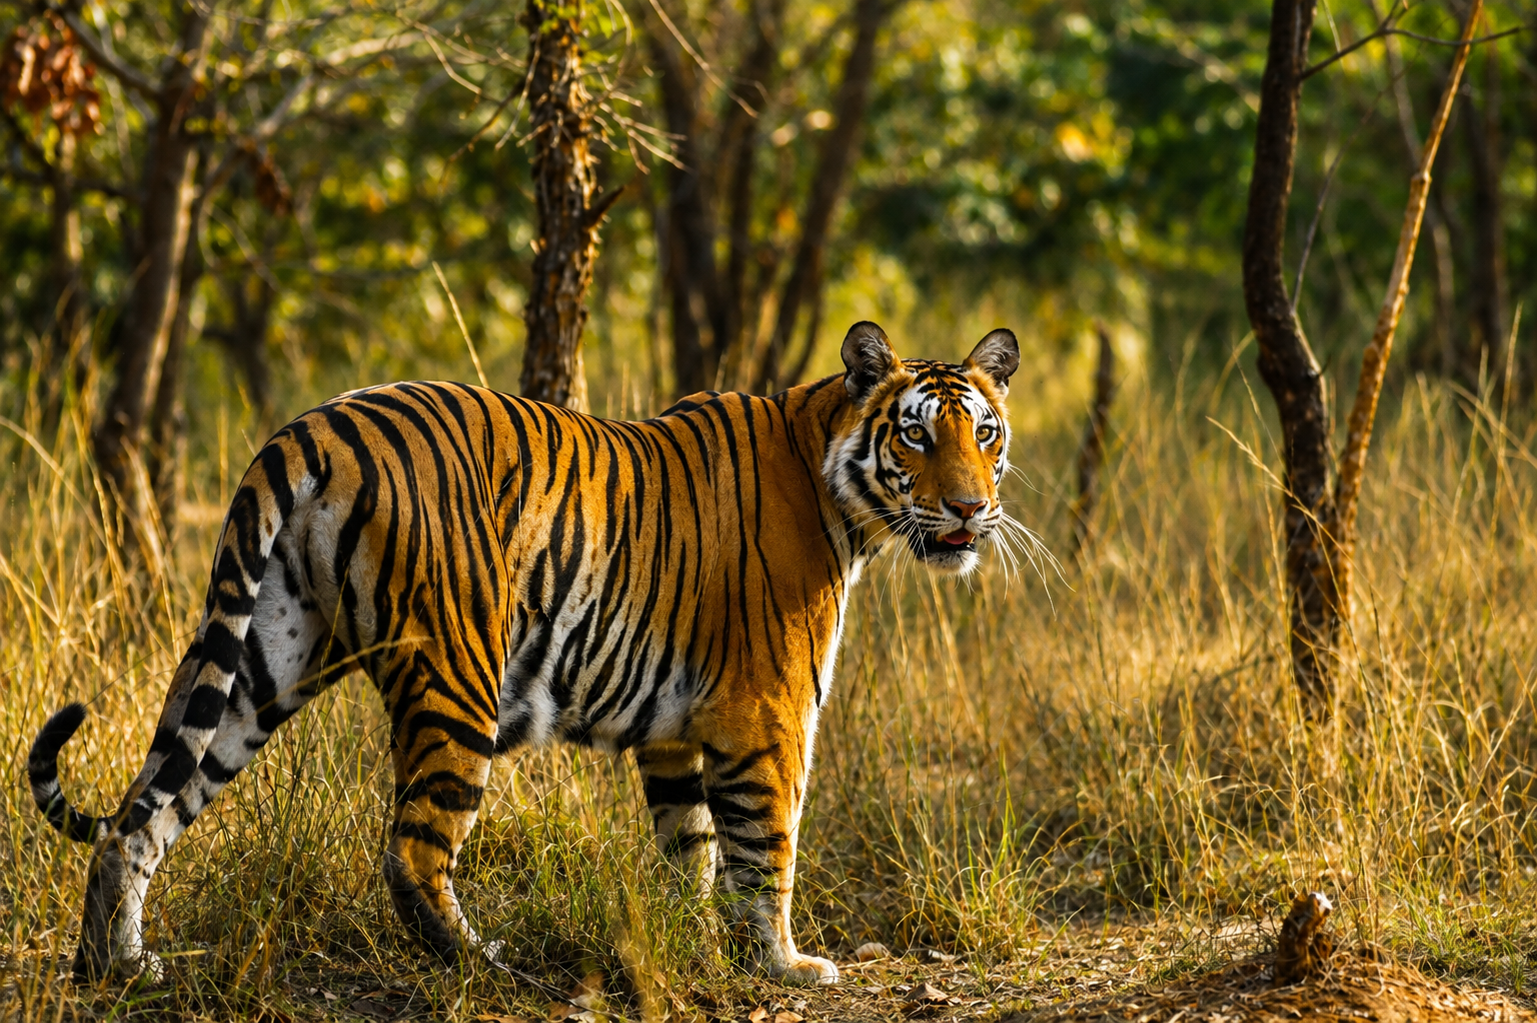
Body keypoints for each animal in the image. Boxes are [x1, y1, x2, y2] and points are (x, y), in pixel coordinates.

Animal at [29, 320, 1019, 987]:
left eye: (985, 433)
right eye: (916, 433)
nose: (971, 510)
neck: (840, 495)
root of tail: (308, 426)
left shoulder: (675, 730)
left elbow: (692, 846)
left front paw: (691, 945)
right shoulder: (767, 714)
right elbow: (763, 845)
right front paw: (781, 962)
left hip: (262, 658)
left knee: (138, 812)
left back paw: (117, 965)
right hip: (457, 671)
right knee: (412, 851)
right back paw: (484, 964)